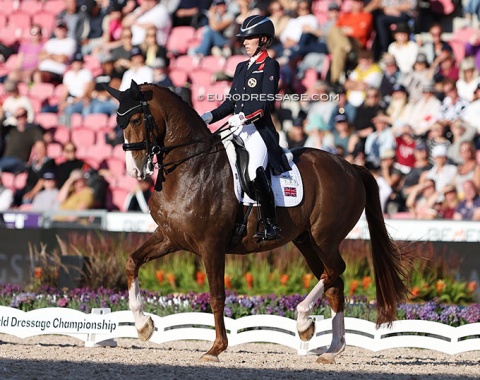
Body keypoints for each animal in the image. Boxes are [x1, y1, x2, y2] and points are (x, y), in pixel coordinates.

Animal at [107, 81, 406, 364]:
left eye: (136, 120)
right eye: (119, 122)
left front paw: (216, 349)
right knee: (334, 282)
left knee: (334, 271)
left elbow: (216, 296)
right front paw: (143, 325)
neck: (191, 167)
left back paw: (304, 322)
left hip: (325, 238)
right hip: (307, 240)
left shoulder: (211, 245)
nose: (135, 170)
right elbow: (132, 262)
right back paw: (332, 349)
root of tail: (350, 167)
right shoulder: (170, 237)